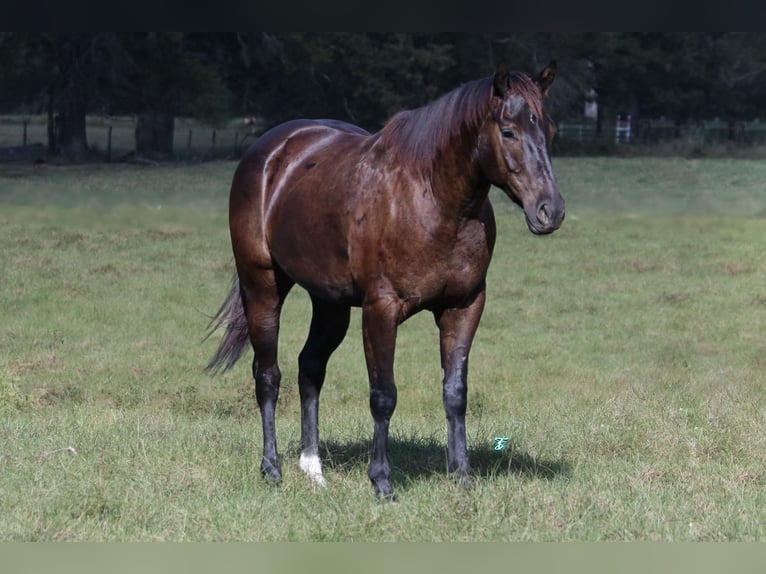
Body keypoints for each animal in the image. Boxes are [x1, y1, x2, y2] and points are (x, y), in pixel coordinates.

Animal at [207, 63, 568, 502]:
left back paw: (313, 469)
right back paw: (272, 469)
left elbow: (455, 392)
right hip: (262, 287)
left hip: (330, 304)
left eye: (550, 130)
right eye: (509, 131)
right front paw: (382, 482)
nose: (550, 210)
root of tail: (270, 151)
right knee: (267, 375)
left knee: (310, 368)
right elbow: (383, 395)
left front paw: (462, 475)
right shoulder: (381, 310)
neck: (432, 199)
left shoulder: (464, 306)